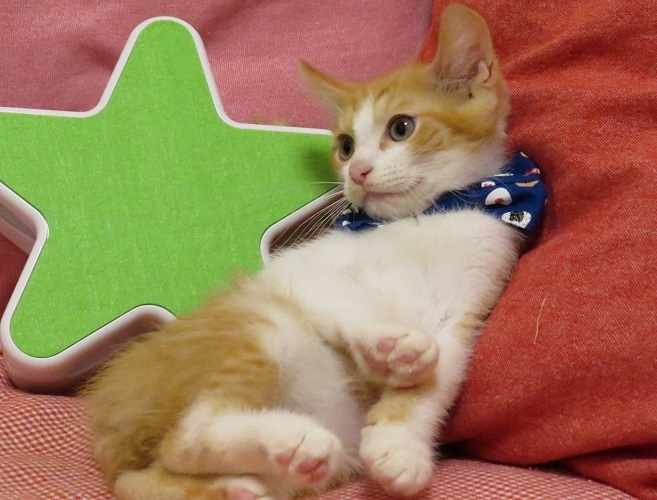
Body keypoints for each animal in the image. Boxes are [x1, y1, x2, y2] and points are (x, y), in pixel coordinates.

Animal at [85, 4, 523, 499]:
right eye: (346, 146)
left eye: (401, 128)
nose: (358, 171)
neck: (422, 217)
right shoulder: (295, 271)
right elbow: (345, 299)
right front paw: (386, 343)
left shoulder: (468, 302)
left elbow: (440, 376)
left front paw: (400, 446)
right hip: (260, 325)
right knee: (183, 438)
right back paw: (285, 440)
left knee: (146, 478)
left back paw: (253, 477)